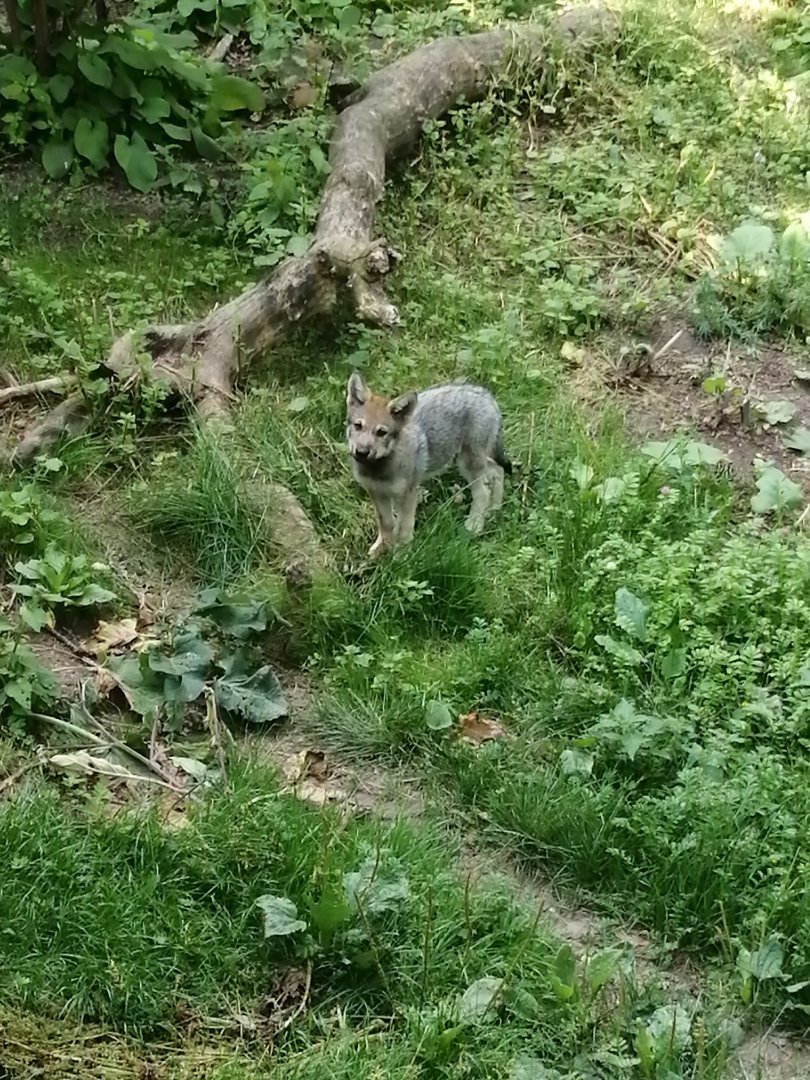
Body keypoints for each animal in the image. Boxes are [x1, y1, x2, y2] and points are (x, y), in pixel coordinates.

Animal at [345, 372, 512, 558]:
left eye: (382, 432)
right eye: (358, 426)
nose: (361, 452)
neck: (379, 470)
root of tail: (486, 396)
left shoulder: (408, 494)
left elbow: (404, 528)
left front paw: (401, 556)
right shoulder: (377, 492)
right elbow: (387, 524)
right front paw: (382, 550)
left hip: (469, 463)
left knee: (483, 491)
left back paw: (474, 525)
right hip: (470, 462)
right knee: (497, 471)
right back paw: (494, 510)